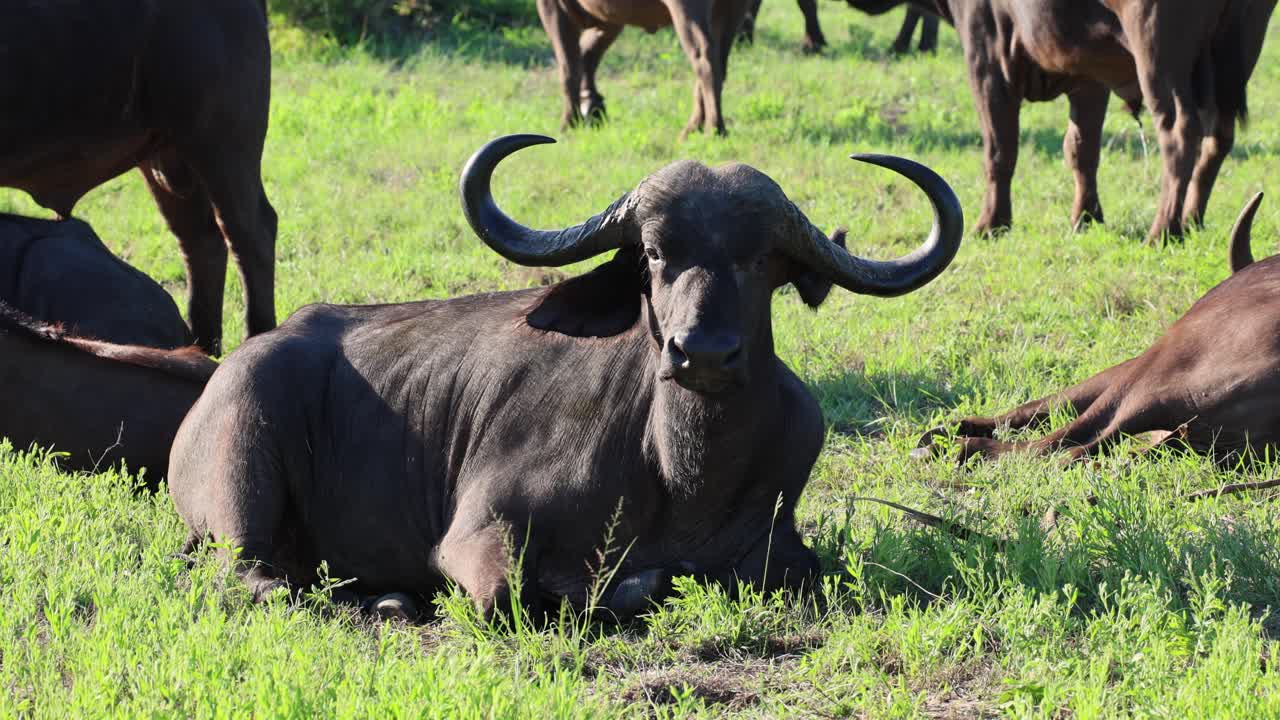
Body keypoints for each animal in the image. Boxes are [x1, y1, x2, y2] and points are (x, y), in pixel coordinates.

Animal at [169, 134, 963, 618]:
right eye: (653, 253)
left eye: (761, 259)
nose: (703, 354)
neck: (682, 470)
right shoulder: (474, 537)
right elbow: (524, 594)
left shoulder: (784, 546)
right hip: (240, 490)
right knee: (259, 579)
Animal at [536, 0, 752, 136]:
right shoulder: (609, 20)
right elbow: (587, 55)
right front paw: (593, 106)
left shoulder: (552, 7)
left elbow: (569, 66)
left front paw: (569, 123)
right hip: (732, 11)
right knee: (720, 62)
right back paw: (694, 127)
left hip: (687, 10)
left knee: (705, 60)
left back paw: (713, 128)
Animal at [879, 0, 1275, 240]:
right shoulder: (1089, 79)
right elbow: (1081, 150)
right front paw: (1086, 218)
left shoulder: (987, 61)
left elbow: (999, 151)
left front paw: (992, 223)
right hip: (1233, 61)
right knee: (1218, 138)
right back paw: (1192, 220)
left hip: (1159, 57)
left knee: (1180, 134)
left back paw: (1163, 230)